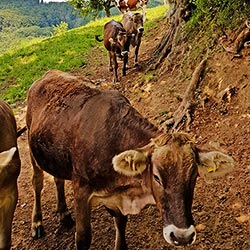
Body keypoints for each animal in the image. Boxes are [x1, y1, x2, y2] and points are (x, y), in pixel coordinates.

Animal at [26, 70, 234, 250]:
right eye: (156, 177)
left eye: (194, 177)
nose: (182, 236)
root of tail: (47, 74)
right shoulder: (81, 190)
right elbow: (83, 238)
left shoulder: (116, 197)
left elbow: (120, 223)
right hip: (31, 147)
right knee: (37, 182)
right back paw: (37, 222)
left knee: (58, 179)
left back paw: (64, 213)